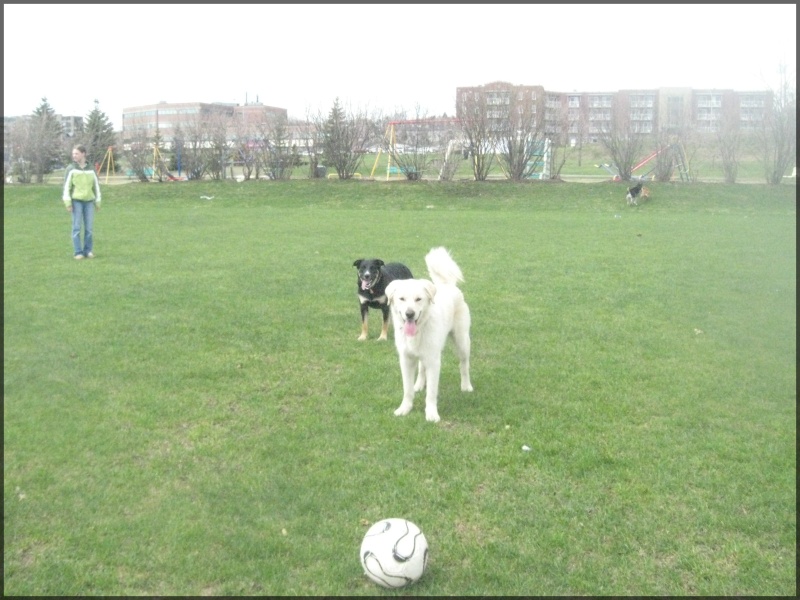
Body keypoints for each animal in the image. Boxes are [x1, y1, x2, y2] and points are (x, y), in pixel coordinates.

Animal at [384, 245, 472, 422]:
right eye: (402, 299)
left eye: (418, 299)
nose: (409, 314)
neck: (419, 330)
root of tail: (447, 285)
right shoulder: (406, 359)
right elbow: (407, 390)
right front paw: (405, 409)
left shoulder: (434, 361)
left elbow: (431, 393)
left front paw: (431, 414)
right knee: (421, 367)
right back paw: (418, 385)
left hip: (462, 342)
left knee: (464, 365)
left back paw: (466, 386)